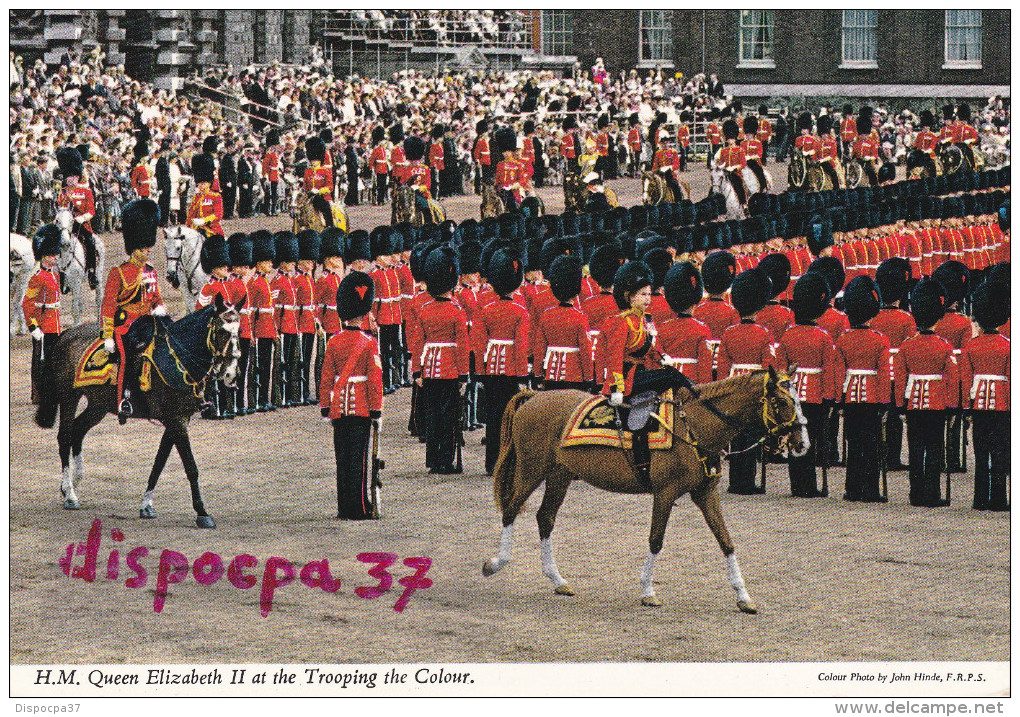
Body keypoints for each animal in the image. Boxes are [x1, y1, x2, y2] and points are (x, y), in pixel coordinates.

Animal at [33, 293, 240, 530]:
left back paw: (73, 483)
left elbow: (159, 462)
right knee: (65, 436)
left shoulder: (177, 420)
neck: (179, 358)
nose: (230, 374)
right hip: (69, 397)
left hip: (99, 404)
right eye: (222, 330)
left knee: (78, 430)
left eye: (239, 329)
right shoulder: (176, 420)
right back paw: (70, 494)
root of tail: (67, 334)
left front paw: (147, 504)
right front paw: (202, 512)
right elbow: (191, 467)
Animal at [481, 371, 807, 611]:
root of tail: (535, 396)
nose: (803, 444)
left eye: (797, 399)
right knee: (511, 509)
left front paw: (743, 596)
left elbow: (726, 541)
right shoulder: (665, 493)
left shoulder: (706, 494)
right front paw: (648, 590)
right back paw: (496, 563)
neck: (694, 426)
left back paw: (558, 580)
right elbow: (655, 540)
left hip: (560, 474)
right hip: (532, 470)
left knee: (545, 518)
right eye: (780, 401)